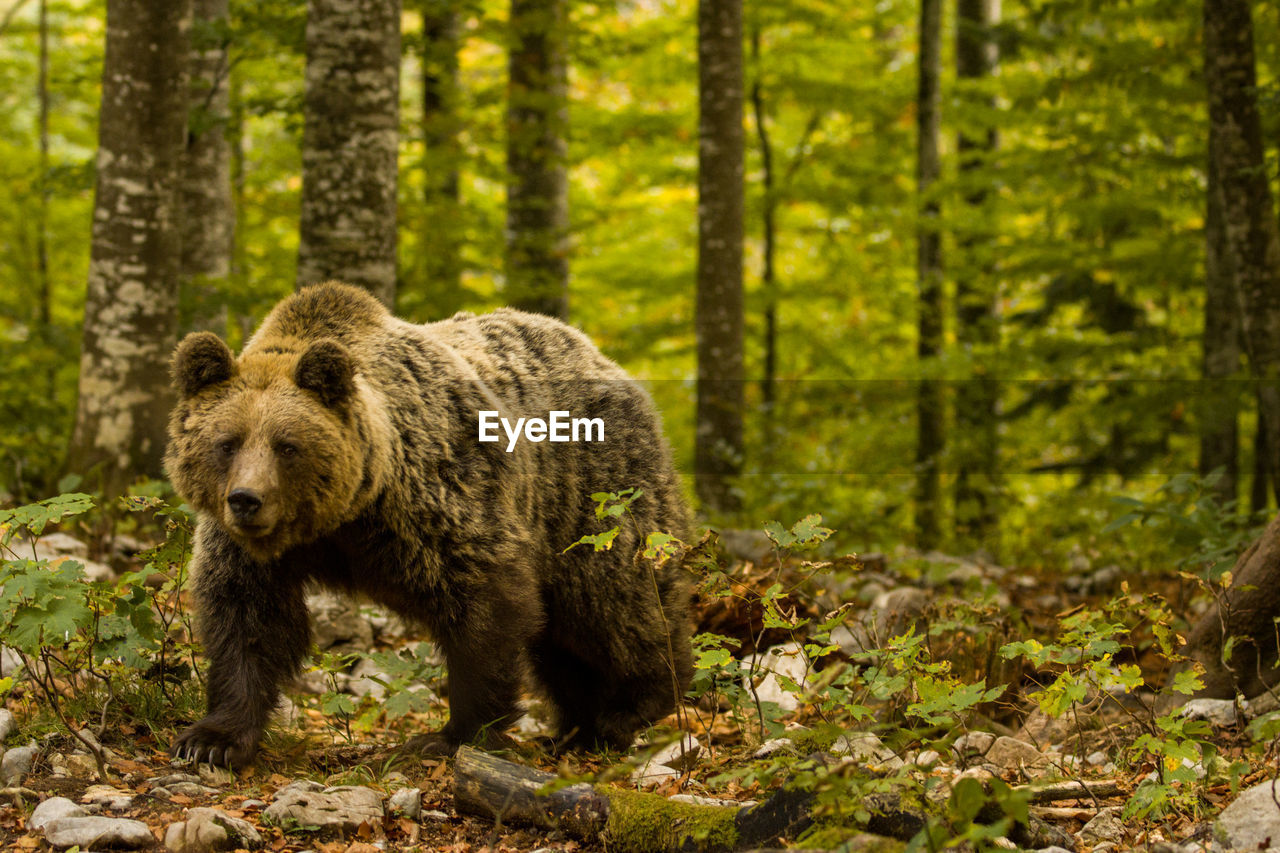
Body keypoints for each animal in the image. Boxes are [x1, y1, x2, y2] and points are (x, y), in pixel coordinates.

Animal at [168, 281, 696, 768]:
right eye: (227, 442)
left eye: (286, 445)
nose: (246, 500)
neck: (345, 514)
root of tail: (603, 359)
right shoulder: (251, 550)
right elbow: (246, 621)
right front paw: (212, 740)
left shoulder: (436, 503)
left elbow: (485, 611)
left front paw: (452, 736)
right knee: (564, 640)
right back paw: (577, 728)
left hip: (590, 495)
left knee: (613, 602)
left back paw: (630, 707)